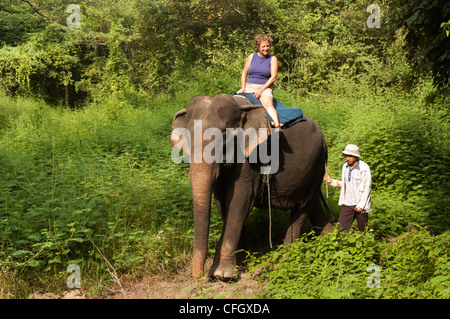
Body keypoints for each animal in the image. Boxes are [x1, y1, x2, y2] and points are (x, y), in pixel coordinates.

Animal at [171, 93, 336, 280]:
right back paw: (333, 237)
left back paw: (284, 263)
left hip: (317, 162)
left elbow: (240, 201)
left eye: (223, 135)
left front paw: (223, 274)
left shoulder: (253, 157)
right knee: (312, 203)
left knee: (302, 208)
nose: (199, 277)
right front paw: (243, 262)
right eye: (187, 136)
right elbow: (223, 204)